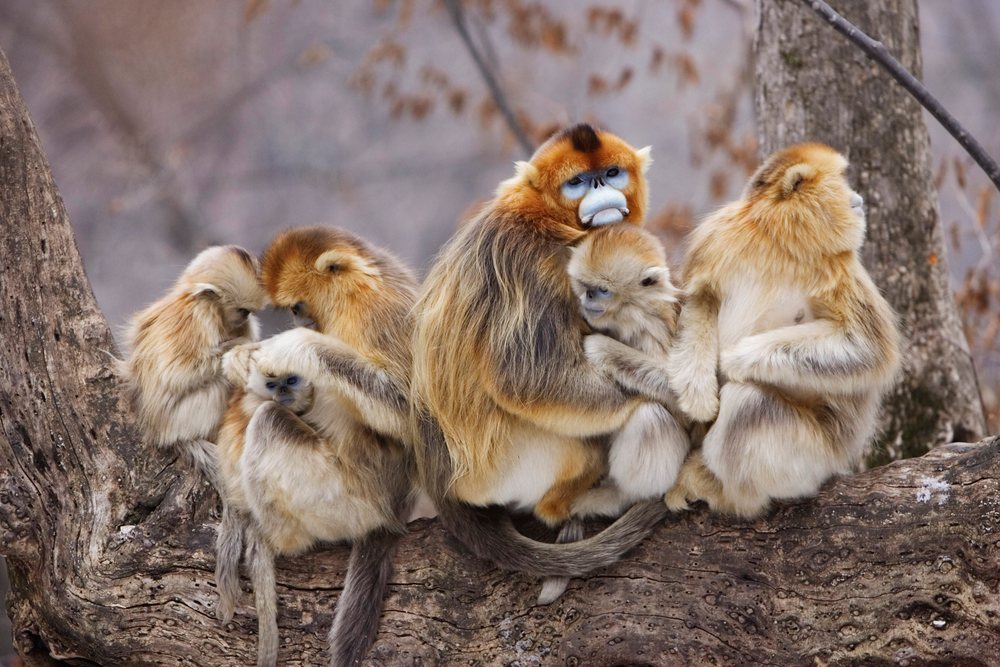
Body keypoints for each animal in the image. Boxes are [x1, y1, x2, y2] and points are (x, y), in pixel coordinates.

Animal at [122, 244, 265, 485]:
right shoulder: (200, 312)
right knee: (222, 384)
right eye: (242, 311)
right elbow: (176, 374)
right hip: (179, 421)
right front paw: (243, 347)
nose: (245, 319)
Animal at [213, 226, 425, 667]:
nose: (301, 319)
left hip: (345, 501)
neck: (368, 277)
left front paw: (293, 345)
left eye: (297, 306)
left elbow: (409, 418)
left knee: (269, 421)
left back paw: (275, 538)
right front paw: (239, 359)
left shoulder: (375, 311)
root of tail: (391, 513)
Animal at [411, 123, 671, 591]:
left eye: (611, 173)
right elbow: (526, 379)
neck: (546, 218)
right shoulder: (534, 261)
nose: (601, 187)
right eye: (578, 182)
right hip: (508, 466)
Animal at [584, 143, 901, 519]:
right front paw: (700, 394)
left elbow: (865, 348)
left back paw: (728, 494)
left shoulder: (836, 264)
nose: (858, 200)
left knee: (748, 402)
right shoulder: (719, 236)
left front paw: (730, 364)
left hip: (814, 458)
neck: (776, 241)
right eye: (840, 183)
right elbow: (701, 298)